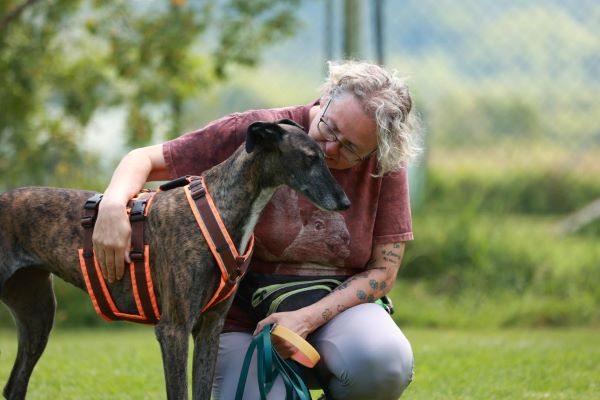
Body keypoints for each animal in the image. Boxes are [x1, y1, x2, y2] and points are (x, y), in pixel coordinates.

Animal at [0, 119, 350, 400]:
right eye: (310, 158)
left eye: (324, 156)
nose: (345, 201)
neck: (218, 207)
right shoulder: (174, 330)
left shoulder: (209, 328)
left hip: (37, 314)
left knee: (15, 385)